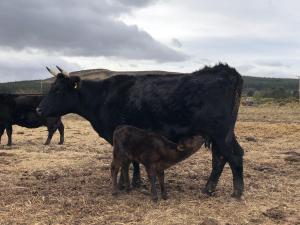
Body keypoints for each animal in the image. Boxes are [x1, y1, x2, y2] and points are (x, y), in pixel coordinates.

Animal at [37, 64, 244, 198]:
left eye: (58, 90)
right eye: (51, 87)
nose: (38, 109)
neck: (102, 96)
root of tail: (226, 71)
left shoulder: (119, 134)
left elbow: (125, 161)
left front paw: (125, 184)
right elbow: (133, 161)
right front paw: (135, 182)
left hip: (220, 133)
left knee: (232, 156)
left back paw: (237, 192)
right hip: (222, 134)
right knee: (224, 157)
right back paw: (209, 189)